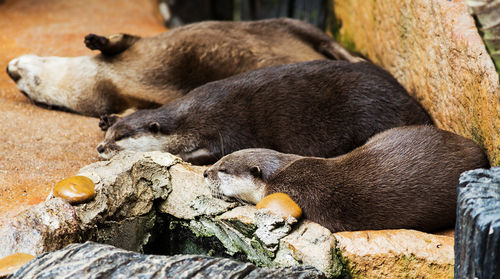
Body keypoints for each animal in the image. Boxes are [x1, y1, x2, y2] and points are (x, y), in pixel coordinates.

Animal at [5, 18, 362, 117]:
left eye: (25, 73)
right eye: (28, 86)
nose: (10, 69)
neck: (106, 79)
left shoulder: (134, 44)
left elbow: (120, 39)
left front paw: (94, 39)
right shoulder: (122, 98)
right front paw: (111, 121)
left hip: (294, 24)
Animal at [95, 59, 432, 164]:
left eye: (121, 138)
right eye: (111, 134)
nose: (101, 148)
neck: (187, 119)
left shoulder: (221, 126)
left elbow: (221, 149)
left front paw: (185, 156)